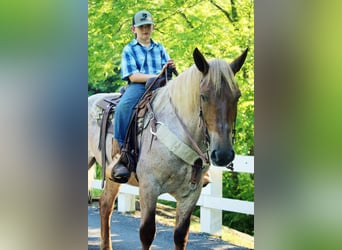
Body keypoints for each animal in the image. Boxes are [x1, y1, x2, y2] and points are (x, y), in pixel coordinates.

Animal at [87, 47, 248, 249]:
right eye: (203, 96)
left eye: (237, 96)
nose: (223, 154)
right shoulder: (149, 187)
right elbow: (147, 233)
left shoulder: (191, 194)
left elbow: (180, 235)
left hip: (112, 176)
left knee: (105, 205)